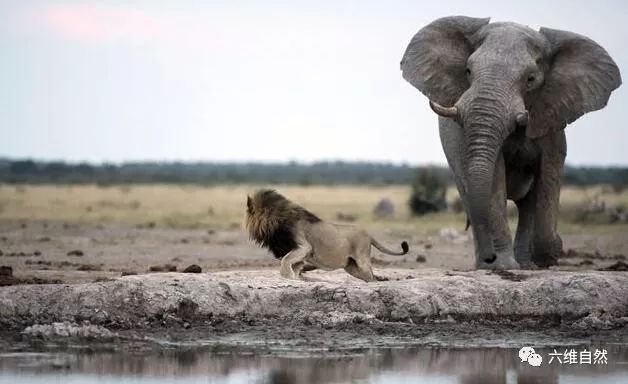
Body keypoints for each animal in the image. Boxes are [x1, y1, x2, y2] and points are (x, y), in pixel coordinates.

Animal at [243, 189, 410, 282]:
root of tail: (368, 234)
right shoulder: (298, 253)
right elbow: (294, 265)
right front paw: (296, 278)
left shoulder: (304, 247)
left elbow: (285, 260)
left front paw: (287, 277)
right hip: (351, 267)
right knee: (369, 277)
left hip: (362, 260)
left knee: (372, 277)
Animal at [400, 16, 620, 270]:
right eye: (468, 71)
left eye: (530, 79)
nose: (490, 258)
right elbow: (494, 180)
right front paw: (504, 266)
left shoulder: (552, 117)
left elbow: (549, 176)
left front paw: (548, 255)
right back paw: (492, 265)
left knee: (527, 206)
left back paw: (526, 264)